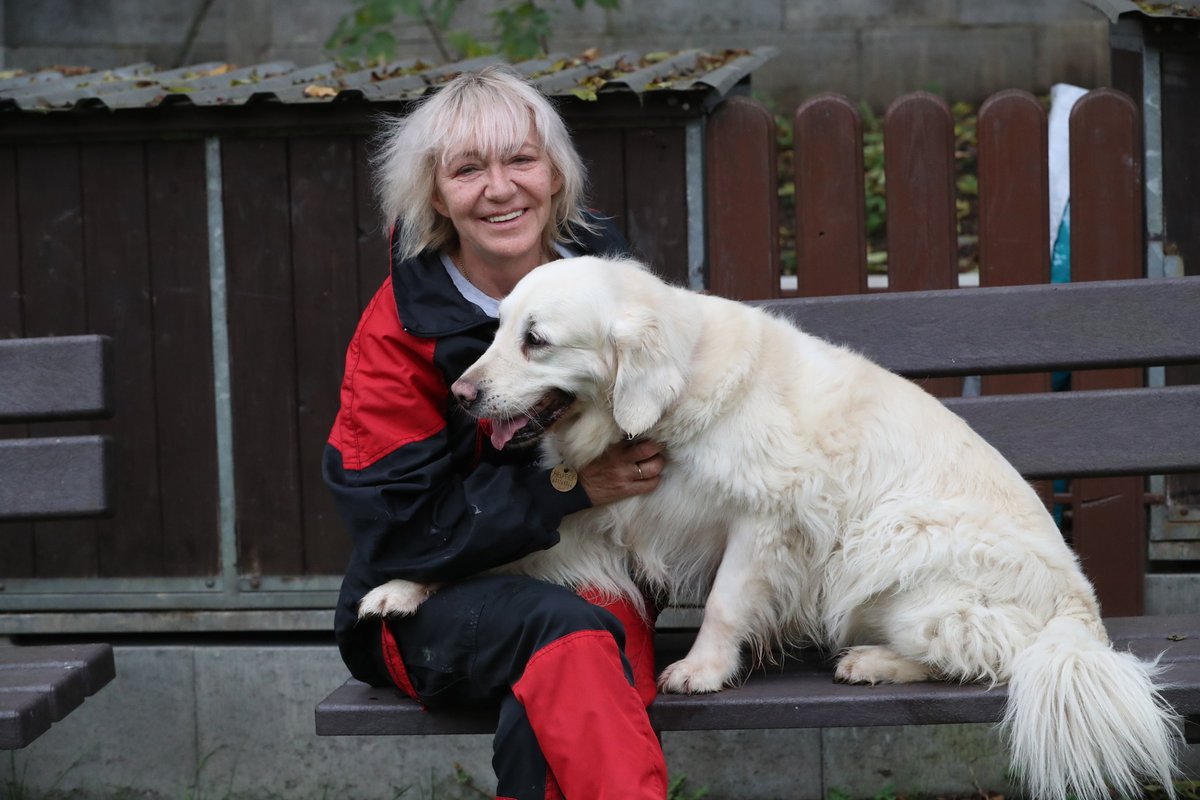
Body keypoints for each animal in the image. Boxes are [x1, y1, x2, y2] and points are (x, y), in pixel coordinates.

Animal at [357, 256, 1180, 800]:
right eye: (496, 331)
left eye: (537, 339)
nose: (462, 394)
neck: (671, 390)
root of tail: (1084, 616)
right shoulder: (591, 516)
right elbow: (486, 552)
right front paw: (399, 587)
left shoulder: (766, 518)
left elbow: (725, 602)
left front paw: (703, 669)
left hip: (890, 541)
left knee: (989, 650)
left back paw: (874, 662)